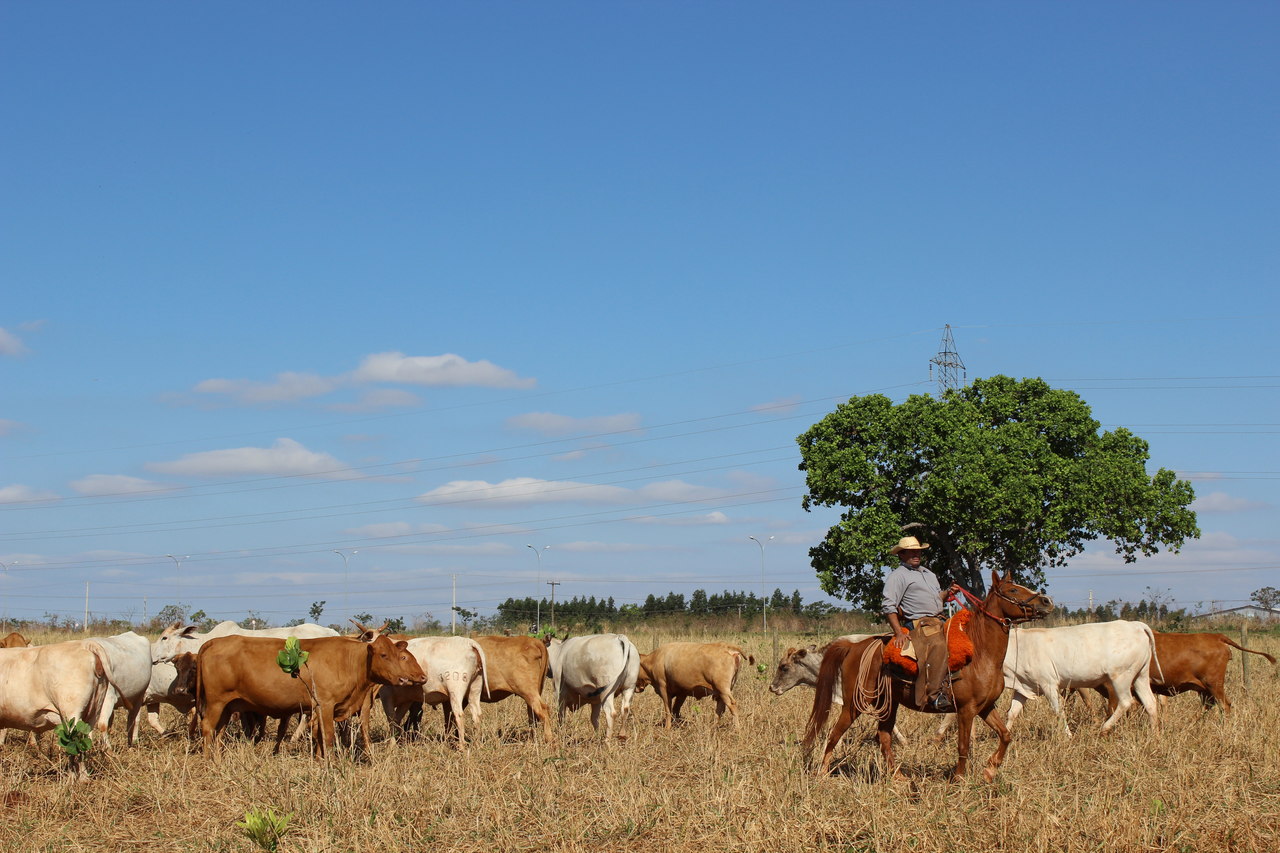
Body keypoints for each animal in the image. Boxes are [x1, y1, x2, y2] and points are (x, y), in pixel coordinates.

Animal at [195, 627, 424, 753]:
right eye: (384, 655)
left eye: (399, 655)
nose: (404, 678)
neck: (349, 661)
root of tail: (215, 641)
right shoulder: (325, 705)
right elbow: (328, 737)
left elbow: (318, 736)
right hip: (216, 702)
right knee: (207, 727)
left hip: (228, 706)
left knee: (218, 732)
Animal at [803, 568, 1054, 778]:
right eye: (1013, 590)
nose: (1047, 601)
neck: (980, 654)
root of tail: (854, 647)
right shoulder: (966, 709)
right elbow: (963, 746)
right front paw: (959, 780)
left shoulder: (985, 706)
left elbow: (1005, 736)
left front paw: (990, 770)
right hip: (855, 704)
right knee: (834, 733)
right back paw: (822, 774)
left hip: (888, 705)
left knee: (883, 737)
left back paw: (899, 778)